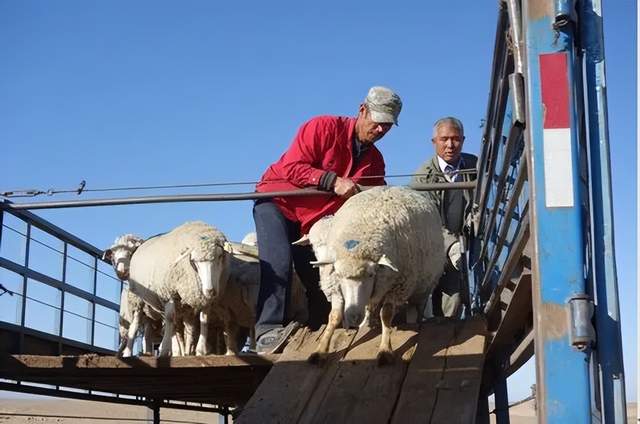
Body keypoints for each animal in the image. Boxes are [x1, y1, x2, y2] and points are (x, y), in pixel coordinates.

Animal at [298, 186, 442, 364]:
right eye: (312, 245)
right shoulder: (337, 289)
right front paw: (320, 350)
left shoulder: (398, 286)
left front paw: (385, 350)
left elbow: (386, 315)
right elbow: (334, 316)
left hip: (422, 289)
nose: (353, 316)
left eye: (372, 275)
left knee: (416, 310)